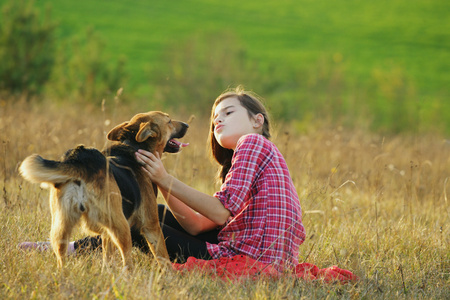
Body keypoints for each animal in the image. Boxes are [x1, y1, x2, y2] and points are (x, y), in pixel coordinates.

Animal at [18, 110, 188, 270]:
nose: (186, 124)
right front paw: (169, 277)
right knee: (127, 263)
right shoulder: (151, 226)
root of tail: (80, 160)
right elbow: (164, 258)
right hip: (122, 226)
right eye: (169, 121)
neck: (134, 145)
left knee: (61, 259)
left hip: (61, 227)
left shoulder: (107, 232)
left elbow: (107, 259)